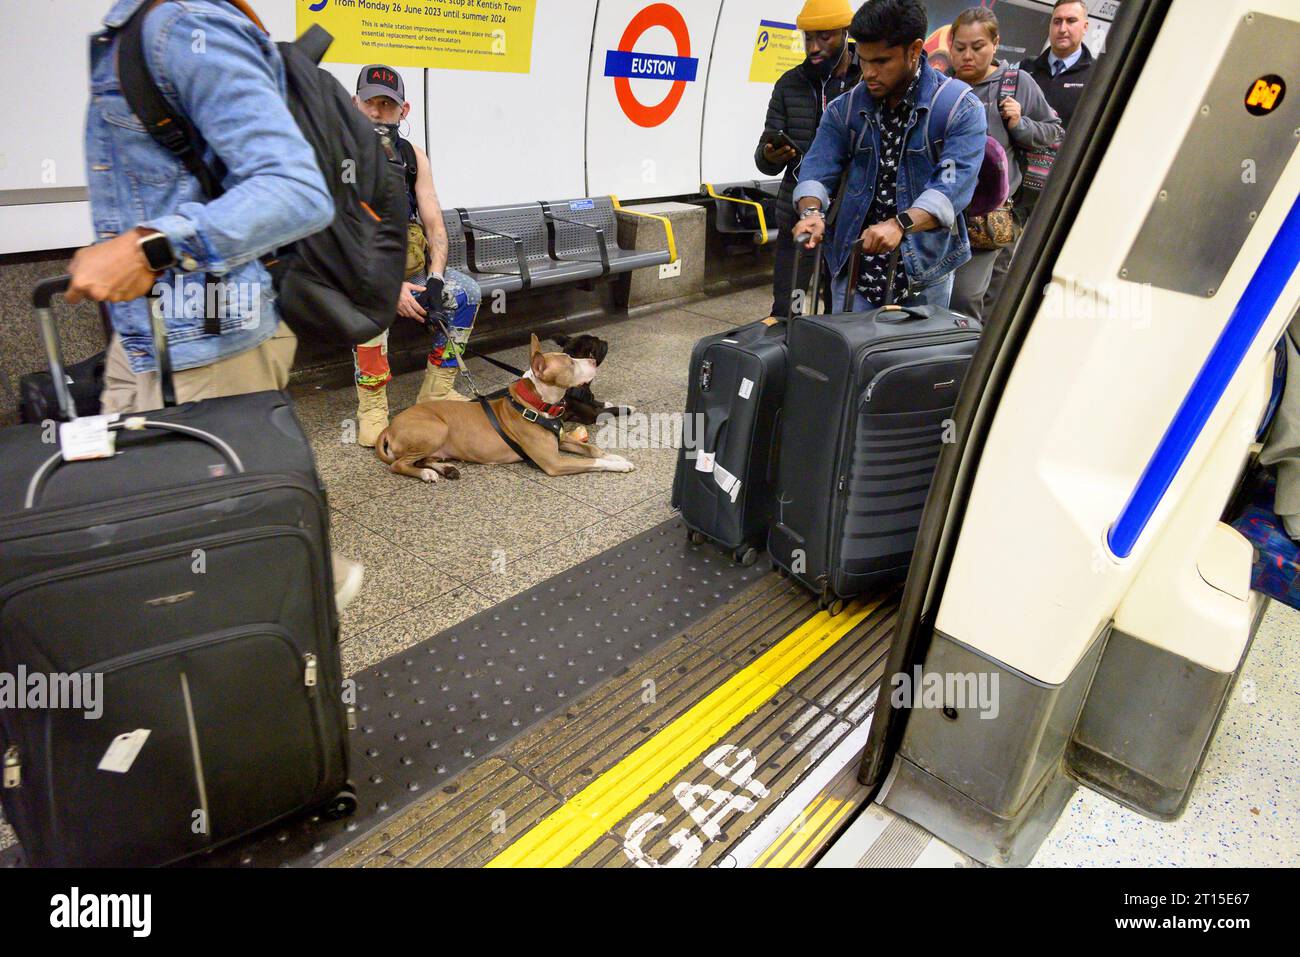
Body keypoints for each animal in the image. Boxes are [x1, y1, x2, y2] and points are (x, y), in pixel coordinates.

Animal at [374, 338, 637, 486]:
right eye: (571, 362)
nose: (592, 362)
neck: (536, 404)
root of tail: (389, 426)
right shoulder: (554, 462)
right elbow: (592, 461)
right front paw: (618, 466)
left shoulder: (561, 439)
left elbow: (593, 449)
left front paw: (616, 457)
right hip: (436, 428)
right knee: (398, 464)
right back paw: (427, 474)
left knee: (422, 458)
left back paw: (443, 468)